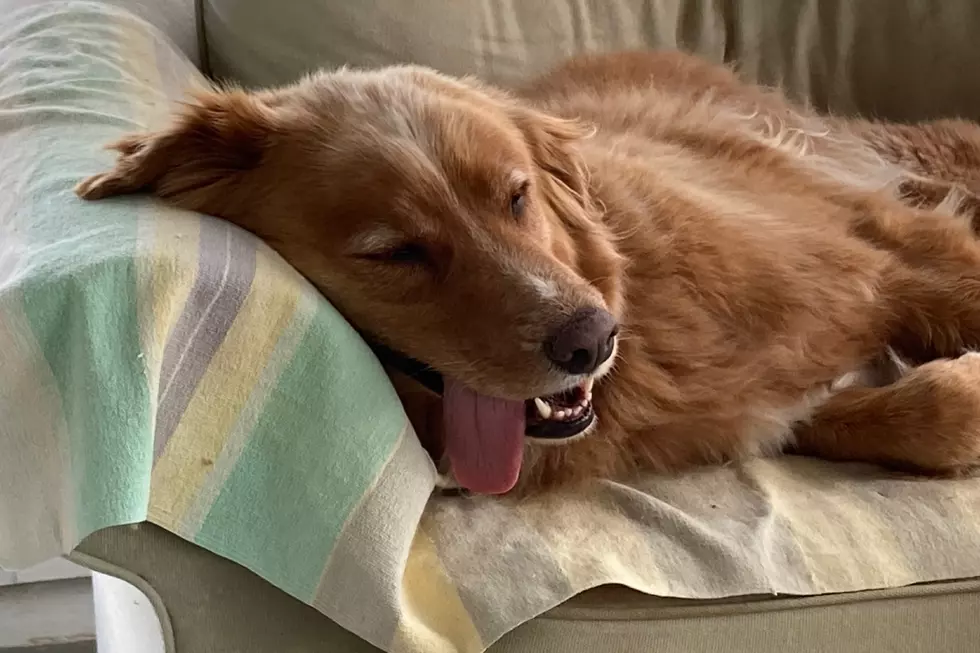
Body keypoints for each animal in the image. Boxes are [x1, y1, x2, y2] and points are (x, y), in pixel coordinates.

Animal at [74, 51, 980, 494]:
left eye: (515, 195)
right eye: (393, 252)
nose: (593, 340)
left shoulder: (887, 244)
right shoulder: (765, 413)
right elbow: (924, 416)